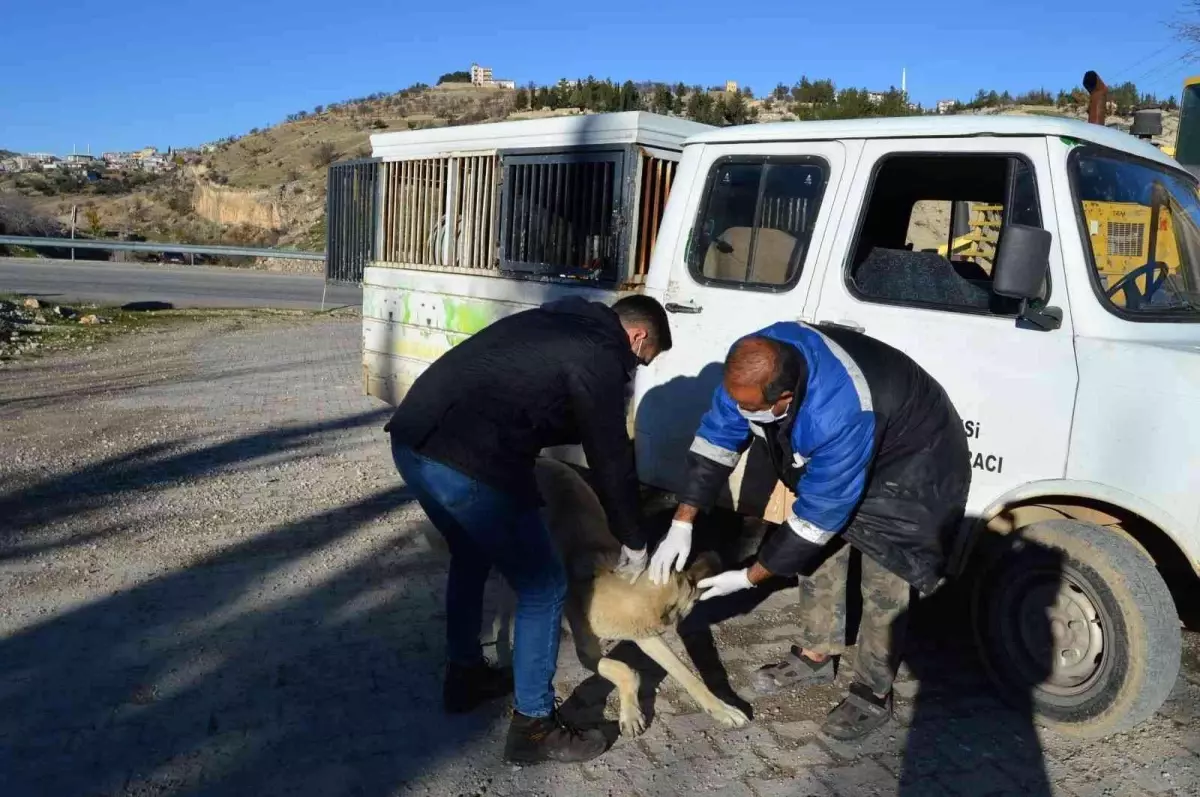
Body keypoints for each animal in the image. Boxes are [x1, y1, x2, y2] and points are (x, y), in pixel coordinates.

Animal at [415, 458, 748, 739]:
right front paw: (631, 714)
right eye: (690, 584)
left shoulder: (647, 636)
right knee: (501, 619)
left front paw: (722, 708)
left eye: (683, 566)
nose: (716, 556)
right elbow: (626, 671)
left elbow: (687, 674)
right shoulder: (588, 654)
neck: (615, 593)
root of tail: (542, 459)